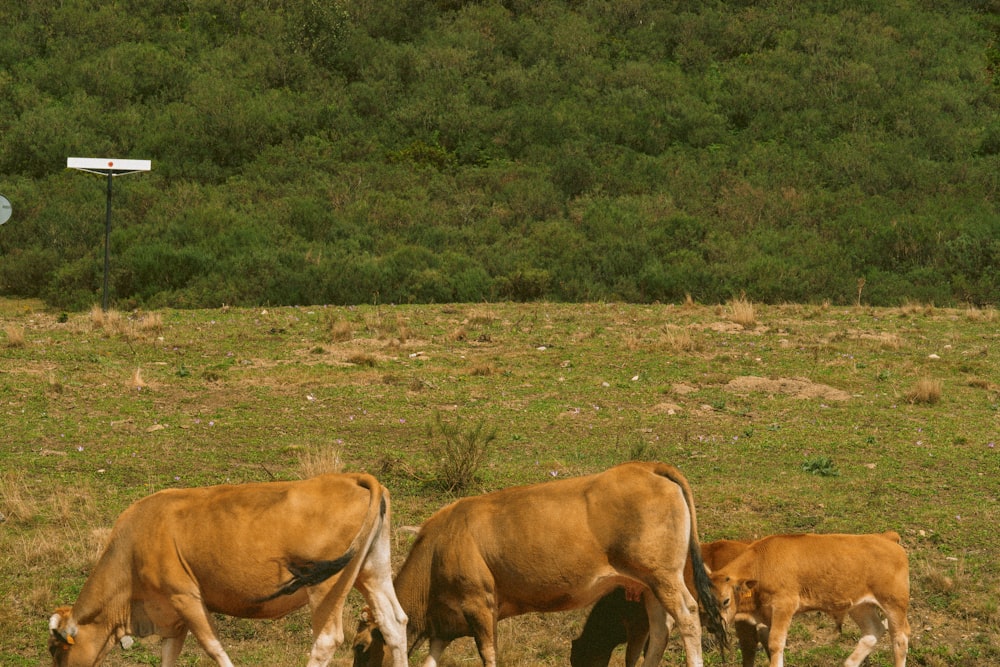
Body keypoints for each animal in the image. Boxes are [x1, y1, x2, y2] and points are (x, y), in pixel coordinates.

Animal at [48, 474, 408, 667]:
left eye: (56, 650)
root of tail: (350, 477)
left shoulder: (185, 596)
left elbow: (213, 647)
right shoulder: (170, 615)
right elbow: (169, 654)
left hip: (326, 587)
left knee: (327, 639)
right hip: (371, 573)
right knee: (394, 623)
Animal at [354, 462, 728, 667]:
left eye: (359, 646)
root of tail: (646, 466)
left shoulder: (479, 605)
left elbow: (488, 653)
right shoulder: (444, 625)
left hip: (664, 576)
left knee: (688, 615)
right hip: (648, 584)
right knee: (662, 627)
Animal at [708, 532, 912, 667]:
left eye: (726, 600)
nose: (712, 626)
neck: (761, 564)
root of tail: (885, 537)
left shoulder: (784, 605)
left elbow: (775, 643)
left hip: (894, 604)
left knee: (900, 640)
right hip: (860, 605)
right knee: (873, 631)